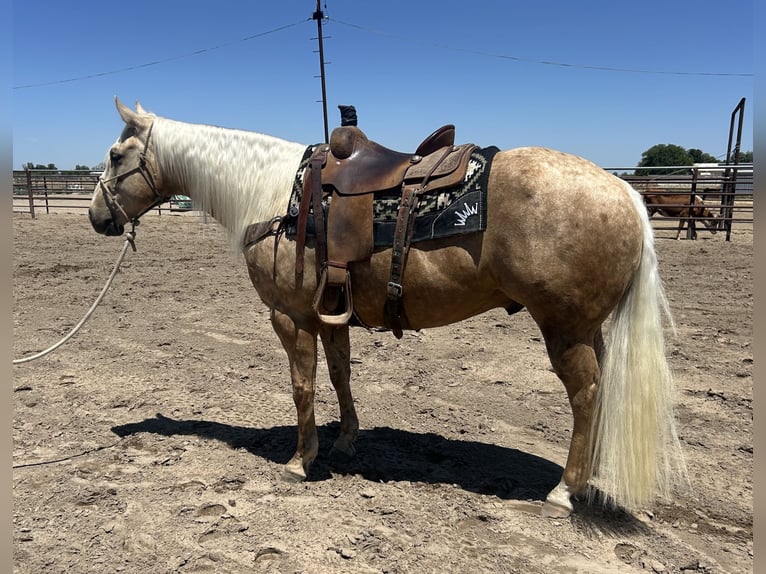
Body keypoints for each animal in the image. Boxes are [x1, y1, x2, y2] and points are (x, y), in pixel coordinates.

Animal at [88, 98, 686, 518]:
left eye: (116, 156)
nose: (97, 217)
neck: (275, 197)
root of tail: (625, 193)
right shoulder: (331, 312)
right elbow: (339, 374)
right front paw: (346, 440)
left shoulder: (290, 316)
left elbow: (302, 385)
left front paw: (300, 461)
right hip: (589, 329)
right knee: (602, 391)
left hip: (564, 328)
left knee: (586, 394)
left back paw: (564, 490)